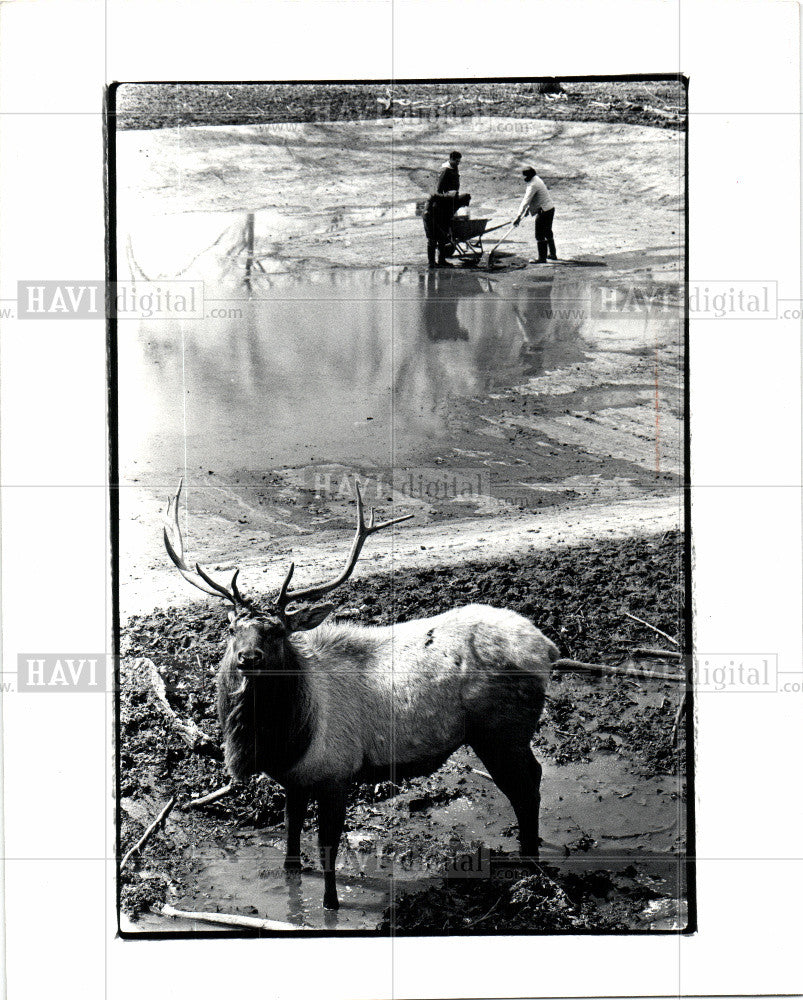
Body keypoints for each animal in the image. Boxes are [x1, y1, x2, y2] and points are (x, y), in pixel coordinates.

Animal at [163, 480, 560, 912]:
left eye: (277, 631)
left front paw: (330, 904)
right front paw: (292, 886)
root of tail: (547, 649)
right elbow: (290, 837)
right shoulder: (294, 779)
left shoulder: (338, 773)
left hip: (502, 732)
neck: (289, 737)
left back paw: (529, 864)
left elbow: (327, 846)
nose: (248, 658)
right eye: (234, 628)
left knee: (527, 784)